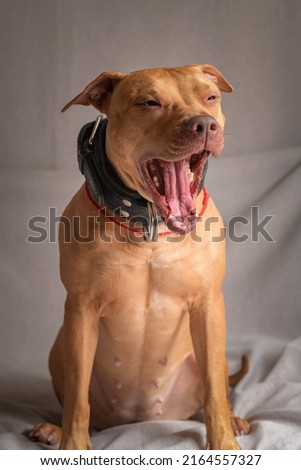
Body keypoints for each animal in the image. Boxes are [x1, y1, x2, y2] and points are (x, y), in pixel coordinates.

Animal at [27, 64, 248, 450]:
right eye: (149, 103)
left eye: (210, 97)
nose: (205, 124)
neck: (150, 228)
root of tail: (139, 418)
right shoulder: (81, 309)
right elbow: (77, 400)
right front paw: (72, 445)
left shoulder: (208, 306)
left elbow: (214, 395)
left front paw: (223, 443)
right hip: (60, 347)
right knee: (75, 395)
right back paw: (52, 427)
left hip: (213, 353)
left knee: (217, 385)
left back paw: (235, 420)